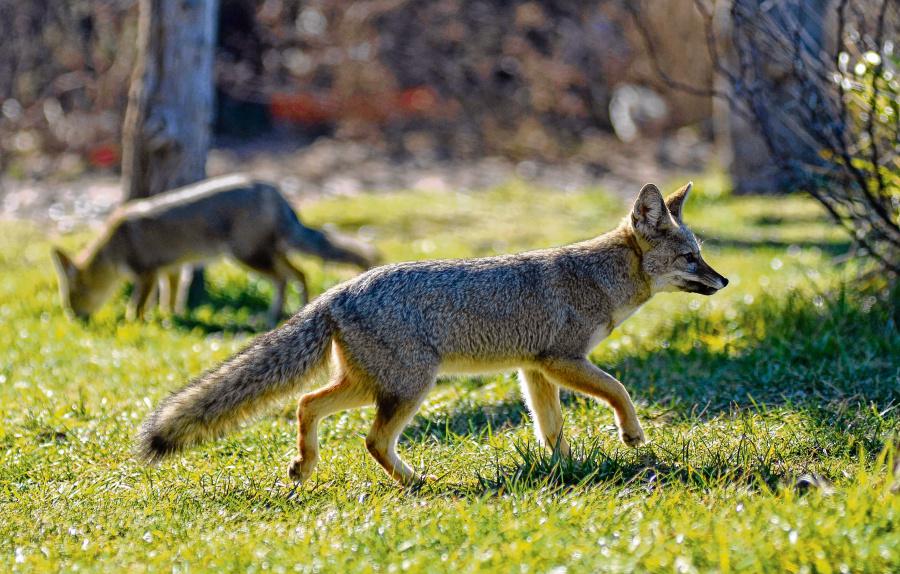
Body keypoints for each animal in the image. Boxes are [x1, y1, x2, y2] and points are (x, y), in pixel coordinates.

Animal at [51, 173, 374, 326]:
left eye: (73, 297)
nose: (74, 318)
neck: (114, 243)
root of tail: (271, 189)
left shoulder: (146, 273)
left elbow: (138, 304)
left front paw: (136, 322)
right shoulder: (171, 269)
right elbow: (170, 296)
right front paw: (169, 317)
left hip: (247, 256)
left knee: (285, 278)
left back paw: (276, 314)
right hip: (267, 253)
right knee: (301, 274)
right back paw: (297, 308)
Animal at [137, 183, 728, 486]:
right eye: (691, 257)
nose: (725, 281)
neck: (598, 276)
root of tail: (336, 292)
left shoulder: (534, 369)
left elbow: (551, 428)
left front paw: (567, 469)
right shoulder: (563, 360)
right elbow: (619, 389)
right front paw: (632, 435)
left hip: (372, 386)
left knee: (307, 403)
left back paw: (305, 466)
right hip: (410, 388)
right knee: (371, 439)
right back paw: (415, 483)